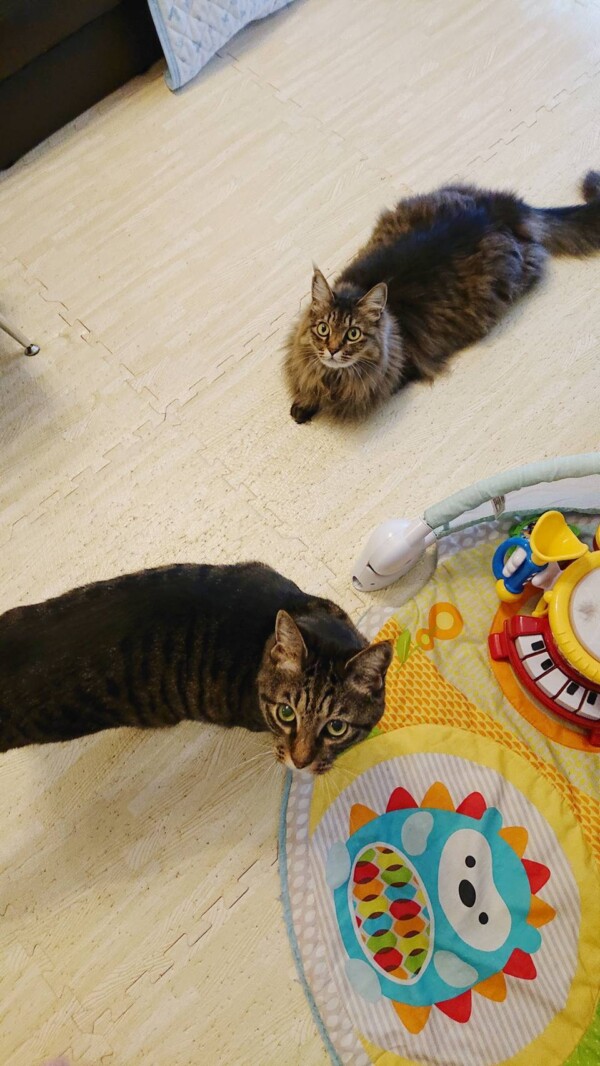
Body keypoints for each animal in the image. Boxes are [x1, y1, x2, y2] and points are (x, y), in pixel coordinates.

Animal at [285, 170, 600, 423]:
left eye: (353, 334)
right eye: (323, 329)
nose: (332, 350)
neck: (334, 377)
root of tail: (502, 208)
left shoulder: (399, 373)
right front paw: (303, 404)